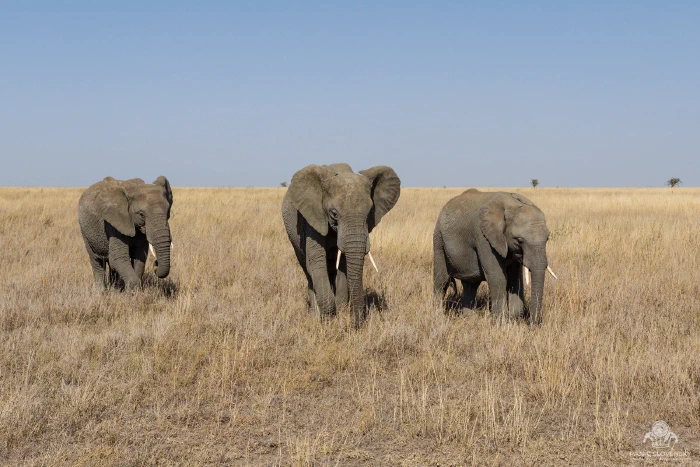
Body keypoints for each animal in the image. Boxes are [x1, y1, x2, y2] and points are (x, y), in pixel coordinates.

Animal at [282, 163, 400, 328]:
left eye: (370, 212)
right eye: (334, 214)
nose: (355, 325)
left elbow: (343, 266)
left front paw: (340, 312)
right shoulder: (312, 218)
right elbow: (317, 263)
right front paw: (327, 320)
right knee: (308, 271)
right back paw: (314, 313)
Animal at [433, 189, 556, 324]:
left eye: (547, 239)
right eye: (519, 240)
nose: (533, 323)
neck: (511, 204)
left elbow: (515, 279)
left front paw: (513, 318)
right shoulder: (483, 237)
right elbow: (498, 277)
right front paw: (501, 322)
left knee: (470, 285)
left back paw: (469, 318)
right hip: (439, 240)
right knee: (441, 281)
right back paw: (437, 315)